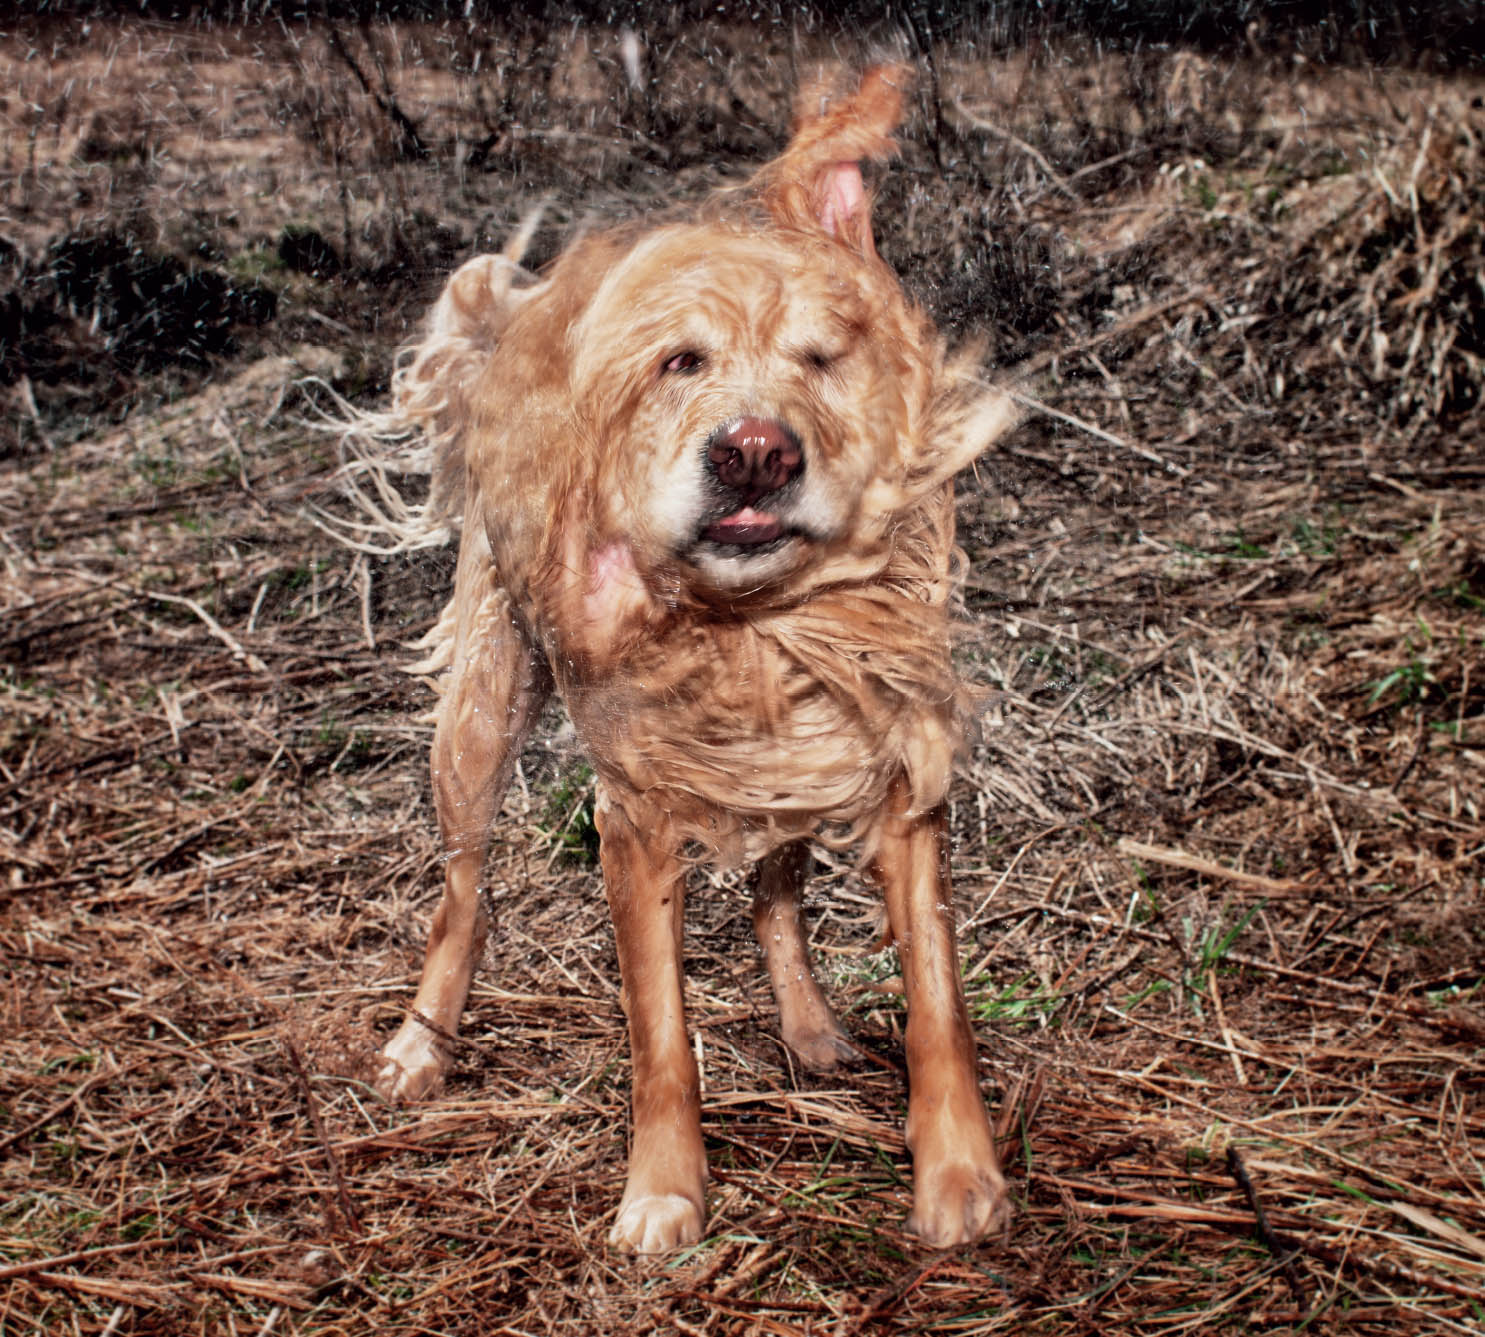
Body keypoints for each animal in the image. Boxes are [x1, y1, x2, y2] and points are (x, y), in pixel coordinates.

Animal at [354, 62, 1015, 1253]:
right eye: (679, 361)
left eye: (821, 359)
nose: (754, 453)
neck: (753, 631)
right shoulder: (634, 820)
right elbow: (659, 1030)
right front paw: (664, 1192)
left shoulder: (896, 775)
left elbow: (937, 996)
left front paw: (959, 1175)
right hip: (477, 718)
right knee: (465, 892)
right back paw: (423, 1041)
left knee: (775, 888)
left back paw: (807, 1023)